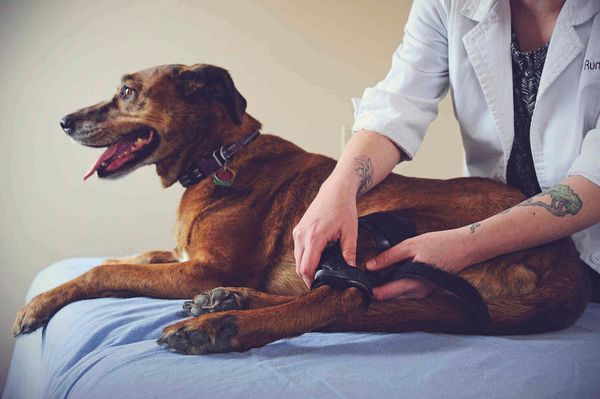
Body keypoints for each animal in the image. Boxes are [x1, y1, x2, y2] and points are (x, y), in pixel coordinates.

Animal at [10, 64, 592, 354]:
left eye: (129, 92)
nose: (63, 121)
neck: (221, 156)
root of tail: (566, 257)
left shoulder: (203, 267)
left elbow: (104, 271)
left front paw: (38, 304)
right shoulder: (185, 261)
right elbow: (133, 257)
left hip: (387, 224)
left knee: (345, 300)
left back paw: (220, 327)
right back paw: (229, 302)